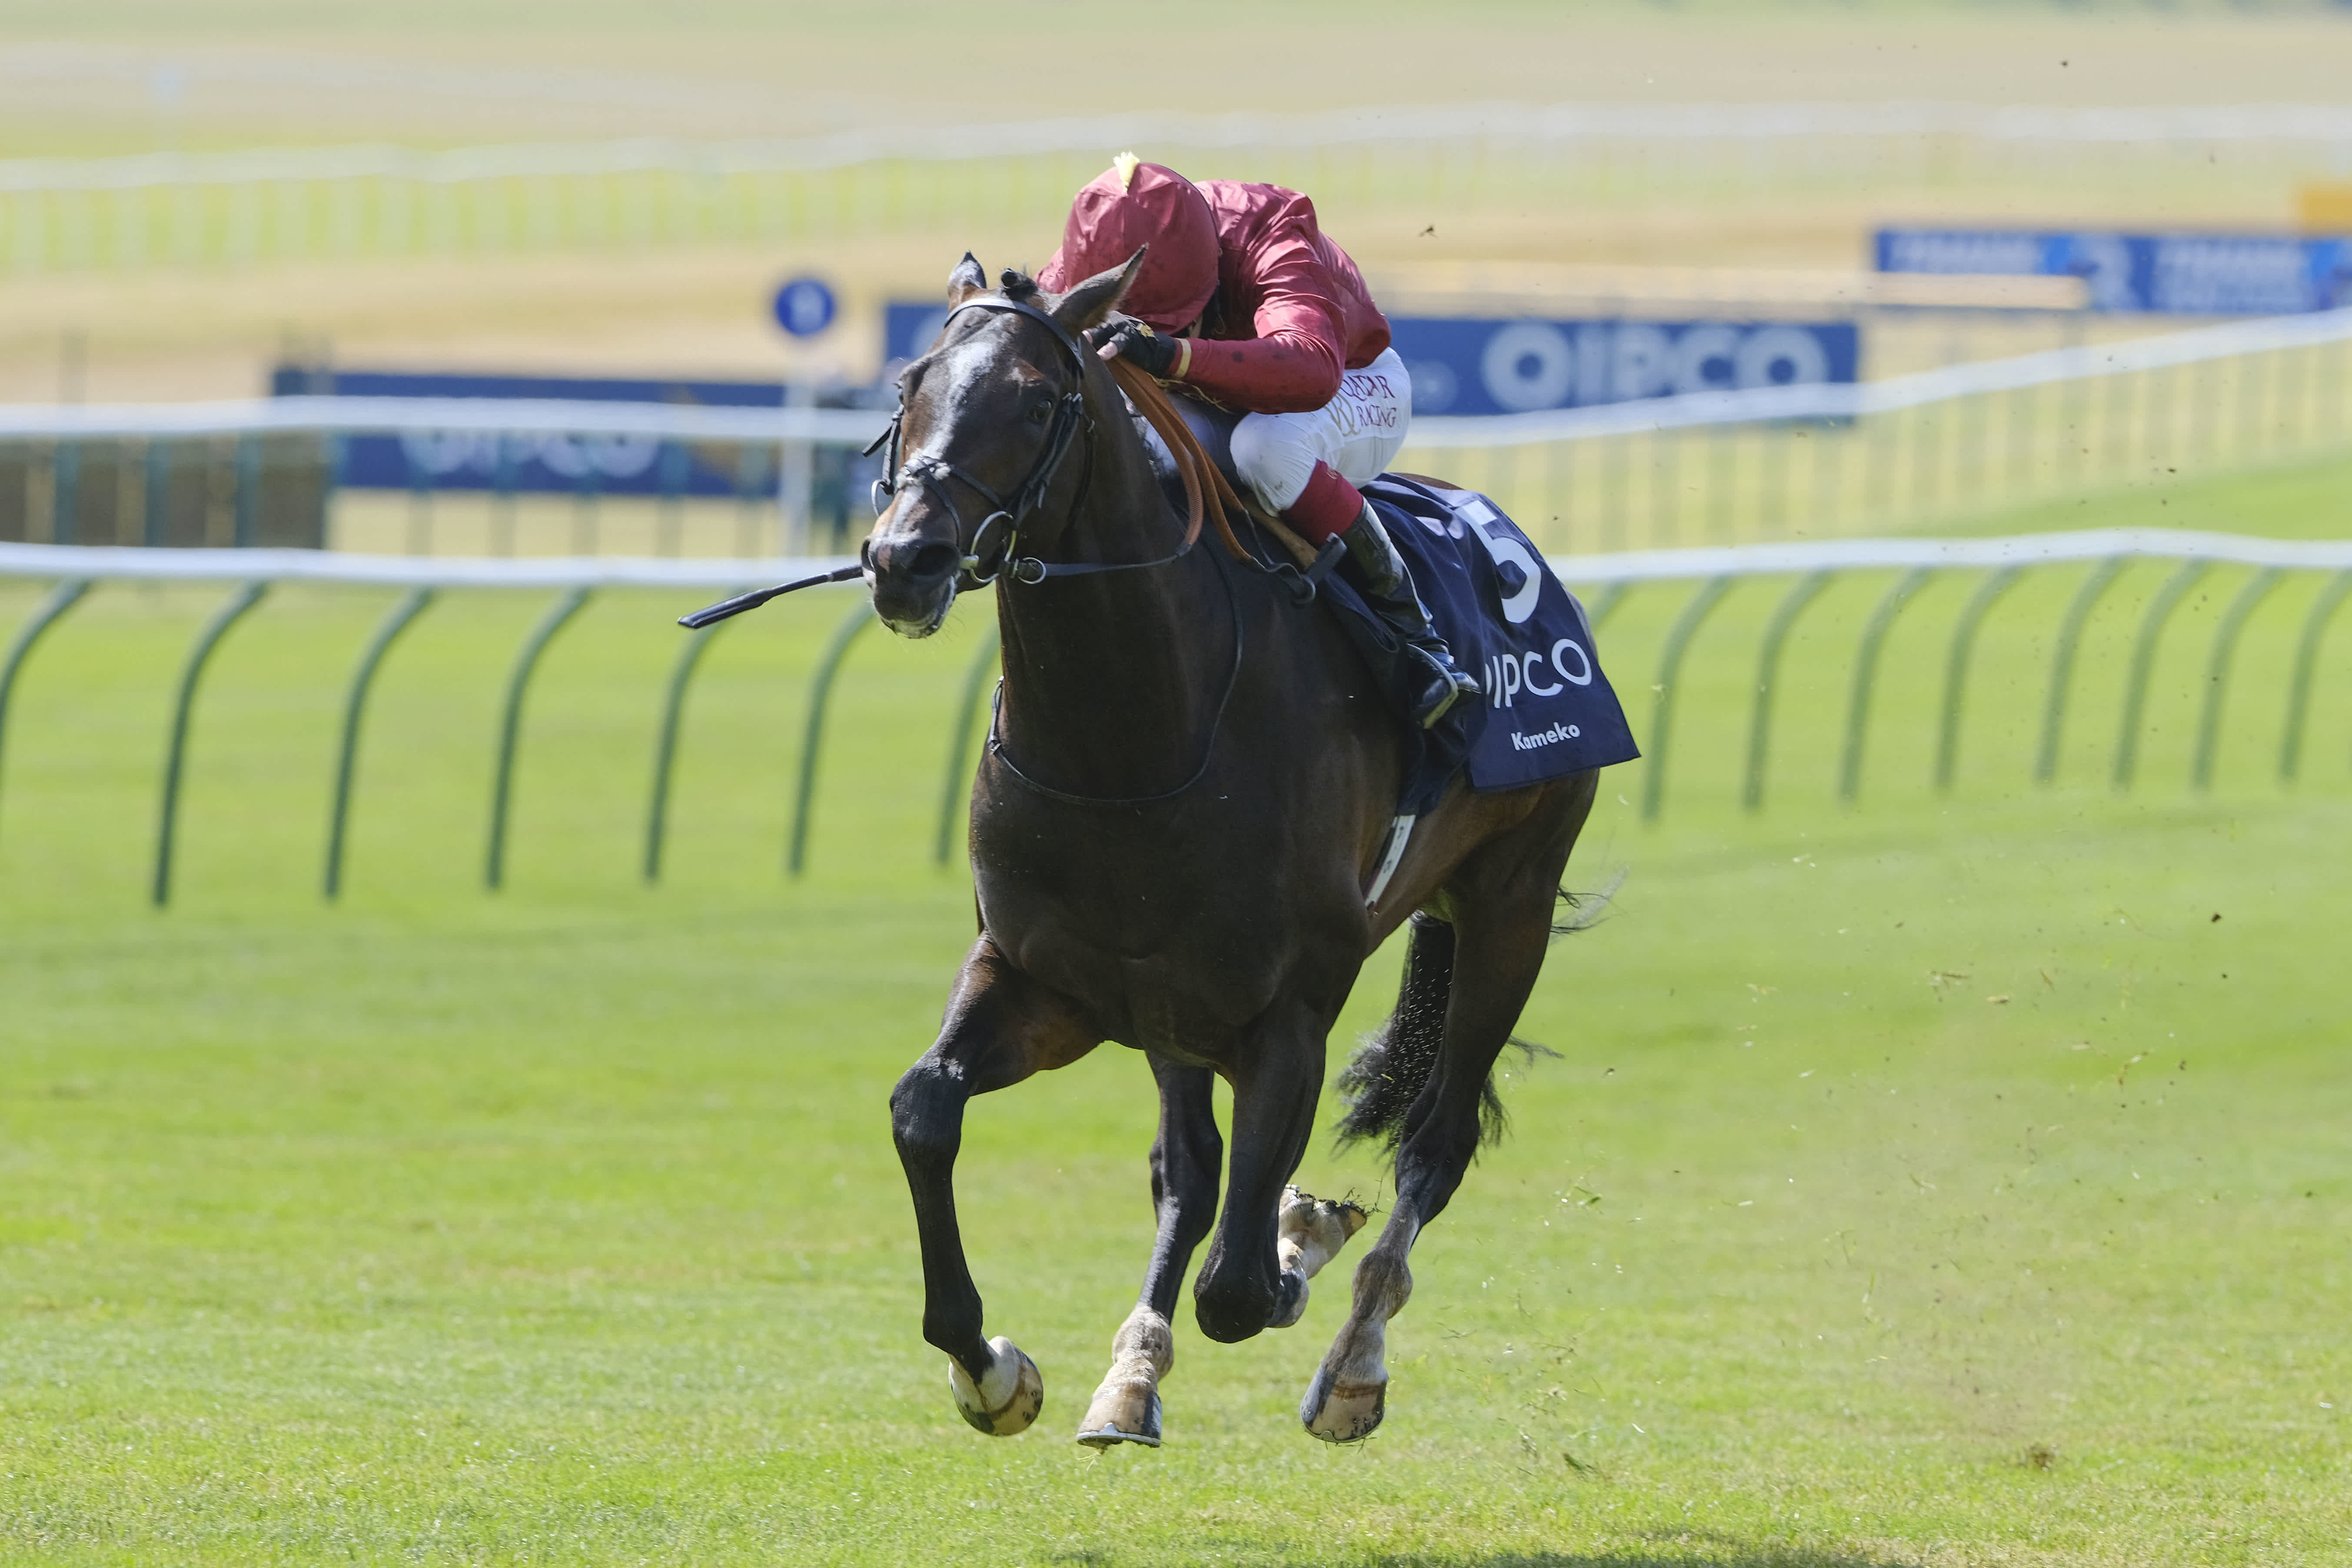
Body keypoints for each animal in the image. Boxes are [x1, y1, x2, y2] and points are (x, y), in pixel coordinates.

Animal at [865, 248, 1599, 1448]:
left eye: (1036, 399)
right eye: (908, 386)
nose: (904, 559)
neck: (1133, 737)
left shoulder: (1290, 1008)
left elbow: (1243, 1285)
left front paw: (1304, 1235)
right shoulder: (1045, 976)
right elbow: (925, 1111)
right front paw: (991, 1368)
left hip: (1510, 904)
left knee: (1433, 1145)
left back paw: (1353, 1360)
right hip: (1175, 1009)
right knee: (1191, 1170)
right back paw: (1132, 1375)